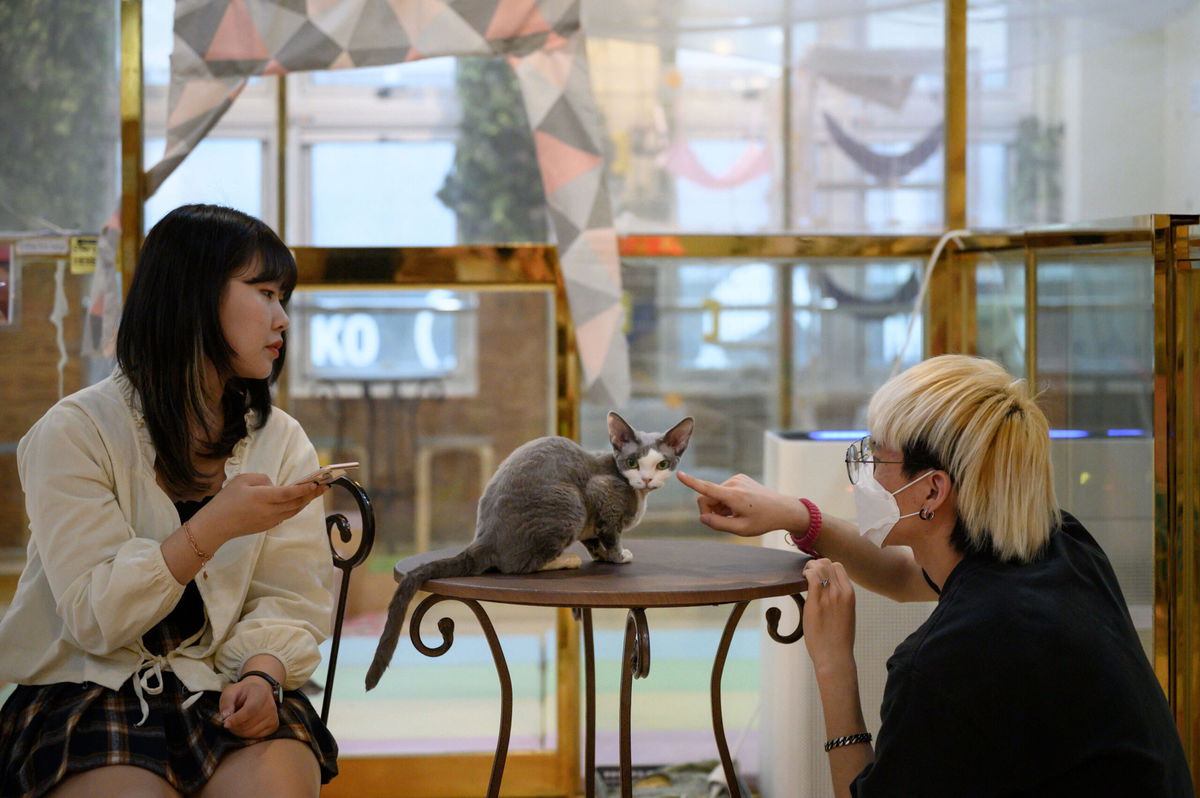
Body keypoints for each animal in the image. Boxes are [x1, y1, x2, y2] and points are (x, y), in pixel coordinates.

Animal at [364, 412, 696, 686]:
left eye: (663, 464)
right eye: (632, 463)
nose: (647, 478)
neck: (637, 494)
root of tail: (484, 538)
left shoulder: (591, 525)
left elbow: (594, 540)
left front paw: (600, 554)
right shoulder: (600, 496)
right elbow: (612, 535)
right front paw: (617, 556)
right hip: (571, 503)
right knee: (517, 566)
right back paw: (565, 559)